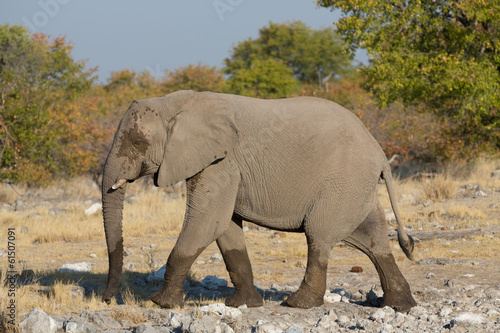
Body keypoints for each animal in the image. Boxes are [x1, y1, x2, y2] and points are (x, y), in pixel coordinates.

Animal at [101, 89, 418, 312]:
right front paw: (243, 304)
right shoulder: (223, 165)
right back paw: (399, 305)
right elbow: (225, 228)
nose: (107, 300)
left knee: (319, 234)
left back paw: (298, 304)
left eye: (138, 143)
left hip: (344, 181)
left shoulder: (221, 162)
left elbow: (207, 222)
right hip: (355, 186)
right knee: (372, 237)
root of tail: (379, 151)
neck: (175, 102)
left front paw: (162, 303)